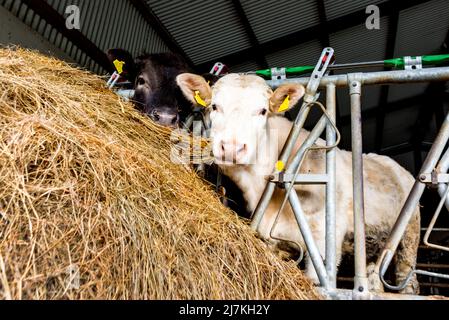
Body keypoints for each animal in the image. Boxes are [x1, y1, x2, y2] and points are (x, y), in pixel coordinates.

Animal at [176, 72, 420, 292]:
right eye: (214, 106)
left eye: (263, 111)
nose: (232, 148)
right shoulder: (271, 238)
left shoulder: (324, 240)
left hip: (409, 236)